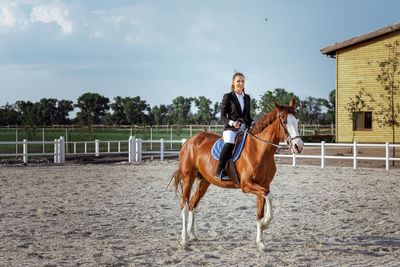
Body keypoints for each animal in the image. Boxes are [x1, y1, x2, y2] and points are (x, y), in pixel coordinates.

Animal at [169, 99, 304, 252]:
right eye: (284, 121)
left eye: (297, 121)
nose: (298, 146)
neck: (259, 150)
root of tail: (190, 141)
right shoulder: (247, 185)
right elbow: (269, 196)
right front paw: (265, 224)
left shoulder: (263, 185)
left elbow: (260, 212)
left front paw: (261, 242)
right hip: (188, 178)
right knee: (185, 206)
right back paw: (184, 240)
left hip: (204, 182)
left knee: (193, 204)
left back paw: (192, 235)